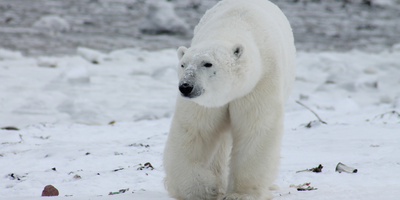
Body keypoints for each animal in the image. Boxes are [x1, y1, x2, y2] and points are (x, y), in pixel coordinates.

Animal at [163, 0, 296, 200]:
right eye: (183, 64)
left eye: (207, 63)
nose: (186, 86)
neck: (232, 26)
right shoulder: (206, 102)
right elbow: (194, 130)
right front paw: (204, 189)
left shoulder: (259, 83)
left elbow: (255, 128)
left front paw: (240, 194)